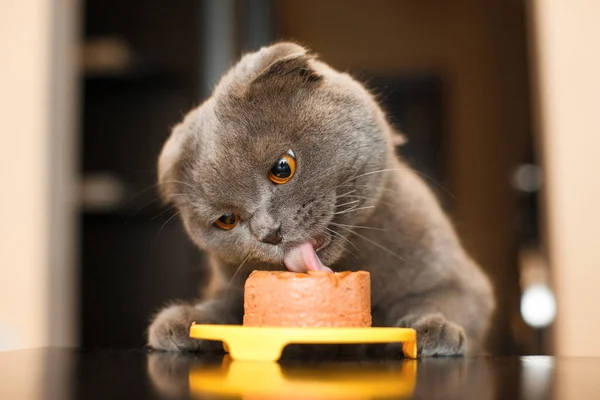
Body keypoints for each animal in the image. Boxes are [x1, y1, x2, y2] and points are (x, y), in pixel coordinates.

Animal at [148, 43, 494, 356]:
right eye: (227, 220)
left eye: (282, 168)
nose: (269, 233)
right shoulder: (230, 282)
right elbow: (225, 306)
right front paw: (184, 320)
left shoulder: (458, 279)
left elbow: (443, 298)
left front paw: (433, 327)